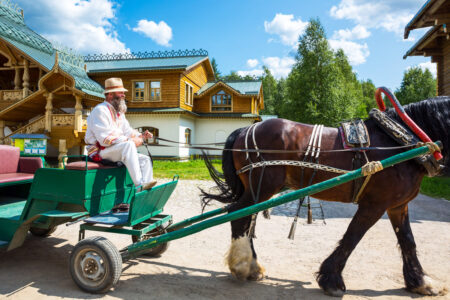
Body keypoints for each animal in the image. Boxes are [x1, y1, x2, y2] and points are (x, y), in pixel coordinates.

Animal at [201, 96, 450, 296]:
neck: (399, 141)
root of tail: (244, 130)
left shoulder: (397, 206)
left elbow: (408, 241)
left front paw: (421, 282)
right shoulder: (374, 205)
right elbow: (351, 238)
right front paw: (331, 280)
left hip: (259, 190)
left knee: (247, 219)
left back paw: (252, 267)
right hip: (261, 188)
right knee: (238, 216)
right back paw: (242, 265)